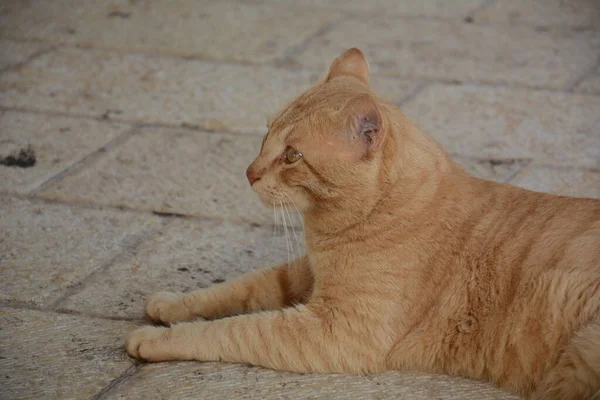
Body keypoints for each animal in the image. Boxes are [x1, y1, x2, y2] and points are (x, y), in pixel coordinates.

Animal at [124, 48, 596, 398]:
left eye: (292, 155)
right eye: (265, 134)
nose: (249, 173)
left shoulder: (334, 330)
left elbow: (233, 330)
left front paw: (157, 339)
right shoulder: (302, 274)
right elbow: (234, 291)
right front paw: (171, 305)